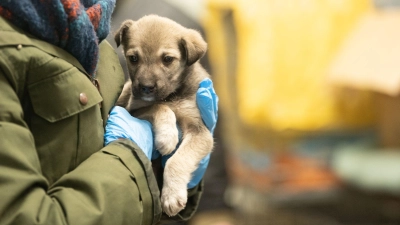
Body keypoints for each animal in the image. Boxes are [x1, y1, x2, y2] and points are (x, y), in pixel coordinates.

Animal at [114, 14, 214, 216]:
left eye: (168, 59)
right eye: (133, 58)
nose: (146, 87)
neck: (170, 97)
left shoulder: (200, 131)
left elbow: (177, 160)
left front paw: (171, 195)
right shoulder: (134, 108)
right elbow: (159, 107)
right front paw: (167, 137)